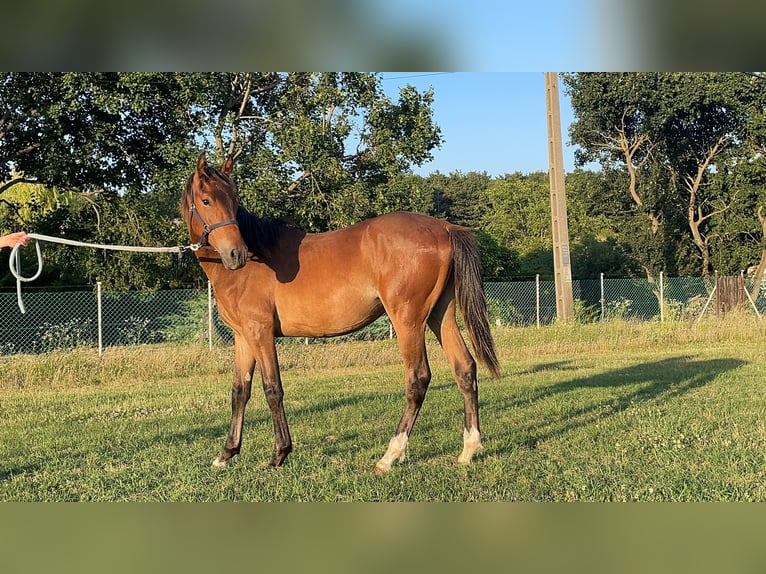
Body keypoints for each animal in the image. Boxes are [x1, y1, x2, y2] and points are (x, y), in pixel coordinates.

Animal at [182, 152, 500, 472]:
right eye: (207, 200)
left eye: (234, 200)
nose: (236, 254)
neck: (256, 258)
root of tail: (445, 228)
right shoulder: (243, 336)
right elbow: (239, 392)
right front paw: (226, 454)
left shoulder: (260, 334)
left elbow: (272, 389)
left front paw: (279, 454)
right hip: (439, 315)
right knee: (465, 368)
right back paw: (469, 449)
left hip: (408, 321)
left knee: (418, 379)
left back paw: (390, 455)